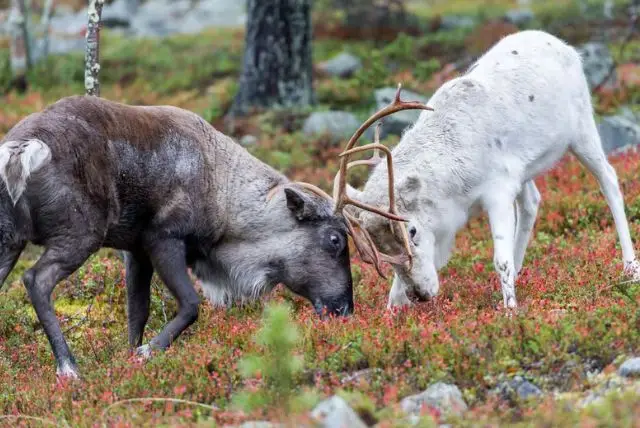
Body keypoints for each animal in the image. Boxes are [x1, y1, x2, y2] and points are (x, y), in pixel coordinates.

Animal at [332, 30, 640, 310]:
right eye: (378, 245)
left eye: (412, 231)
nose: (420, 295)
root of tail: (564, 45)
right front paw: (391, 309)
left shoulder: (498, 192)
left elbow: (499, 259)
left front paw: (510, 310)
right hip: (527, 169)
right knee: (532, 202)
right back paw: (520, 272)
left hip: (582, 130)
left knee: (609, 180)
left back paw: (630, 267)